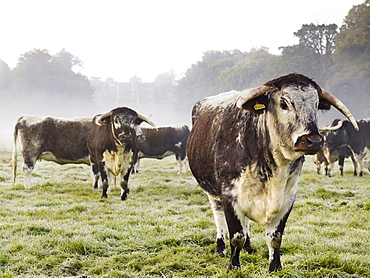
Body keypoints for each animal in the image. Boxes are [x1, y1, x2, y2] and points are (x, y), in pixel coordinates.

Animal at [186, 72, 356, 272]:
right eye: (284, 103)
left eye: (316, 104)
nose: (313, 140)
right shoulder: (230, 196)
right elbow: (236, 236)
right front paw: (234, 266)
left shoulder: (287, 198)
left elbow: (274, 238)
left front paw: (275, 267)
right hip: (212, 191)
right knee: (218, 216)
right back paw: (220, 248)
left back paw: (249, 247)